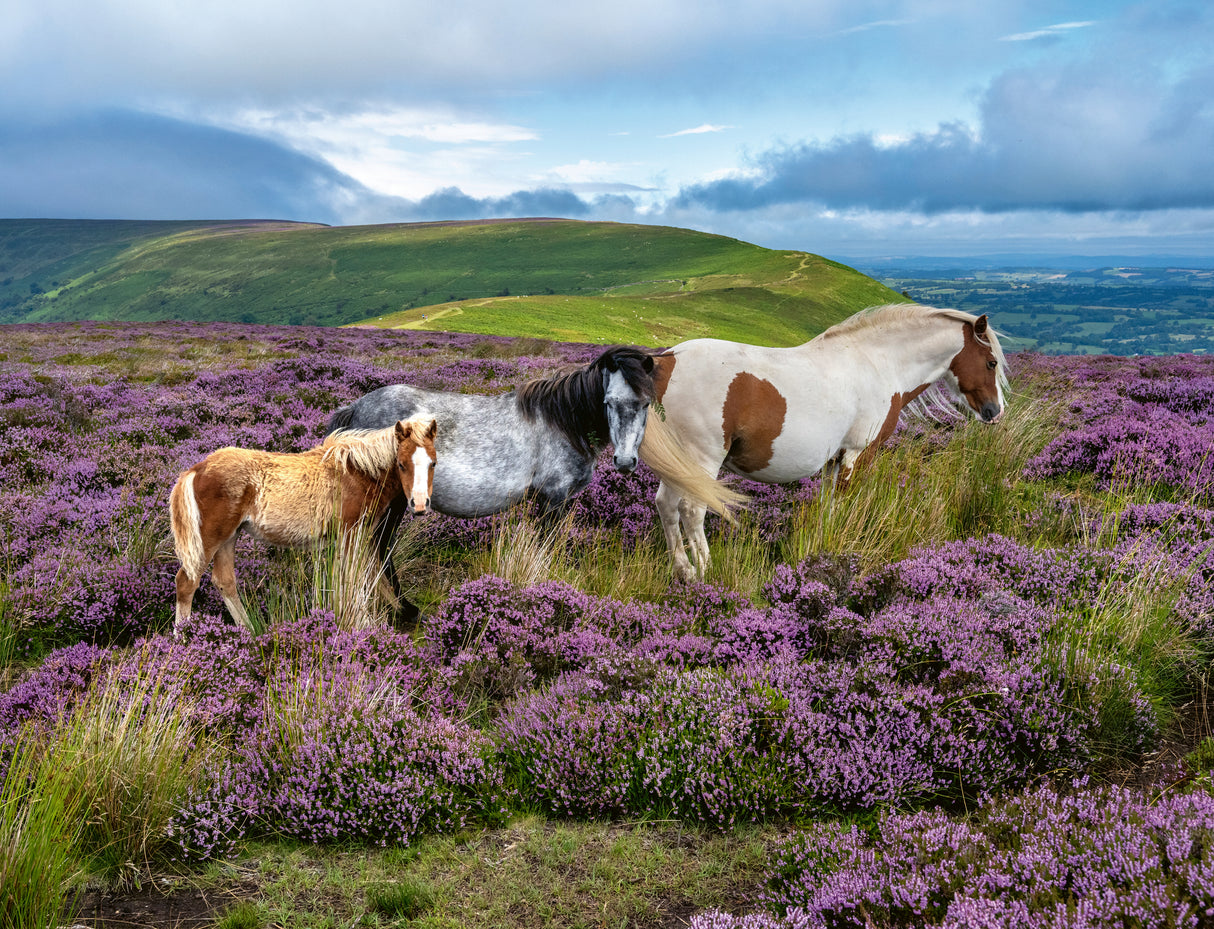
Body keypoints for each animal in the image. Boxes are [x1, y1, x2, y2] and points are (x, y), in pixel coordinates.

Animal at [169, 414, 438, 632]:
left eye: (433, 463)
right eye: (401, 464)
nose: (419, 504)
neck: (357, 473)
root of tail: (196, 469)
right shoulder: (351, 533)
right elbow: (353, 579)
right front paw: (360, 624)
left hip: (229, 537)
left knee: (225, 582)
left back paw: (249, 633)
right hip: (210, 538)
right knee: (187, 583)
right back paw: (183, 638)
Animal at [326, 346, 743, 601]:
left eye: (645, 403)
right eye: (608, 401)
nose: (625, 463)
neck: (564, 421)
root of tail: (355, 409)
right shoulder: (552, 499)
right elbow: (545, 551)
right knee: (378, 548)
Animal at [640, 304, 1009, 581]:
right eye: (991, 362)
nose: (995, 412)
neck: (878, 364)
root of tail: (667, 360)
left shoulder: (835, 458)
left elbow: (829, 506)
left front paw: (825, 547)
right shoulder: (858, 453)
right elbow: (845, 503)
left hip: (678, 464)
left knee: (666, 505)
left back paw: (684, 571)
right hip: (702, 459)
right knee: (692, 510)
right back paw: (705, 571)